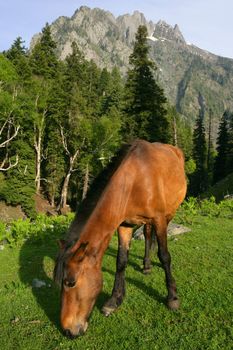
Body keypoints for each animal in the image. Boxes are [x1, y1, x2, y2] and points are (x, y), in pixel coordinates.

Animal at [53, 140, 187, 340]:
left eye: (70, 282)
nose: (68, 331)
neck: (135, 180)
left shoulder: (159, 219)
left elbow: (164, 256)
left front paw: (172, 298)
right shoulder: (125, 224)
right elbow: (121, 261)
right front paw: (114, 300)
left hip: (170, 213)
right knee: (147, 233)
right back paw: (146, 265)